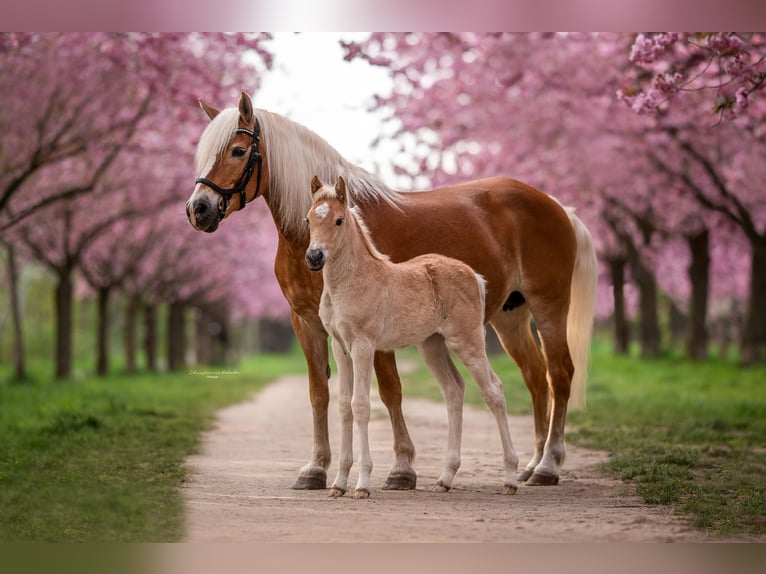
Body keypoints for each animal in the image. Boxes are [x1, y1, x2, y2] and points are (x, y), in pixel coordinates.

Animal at [306, 176, 520, 500]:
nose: (314, 257)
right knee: (453, 390)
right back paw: (445, 478)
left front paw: (362, 485)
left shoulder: (364, 345)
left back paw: (510, 478)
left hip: (466, 341)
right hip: (432, 345)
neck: (351, 282)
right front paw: (338, 484)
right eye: (308, 220)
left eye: (339, 220)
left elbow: (360, 405)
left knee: (494, 391)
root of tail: (475, 276)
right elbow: (343, 406)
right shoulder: (340, 347)